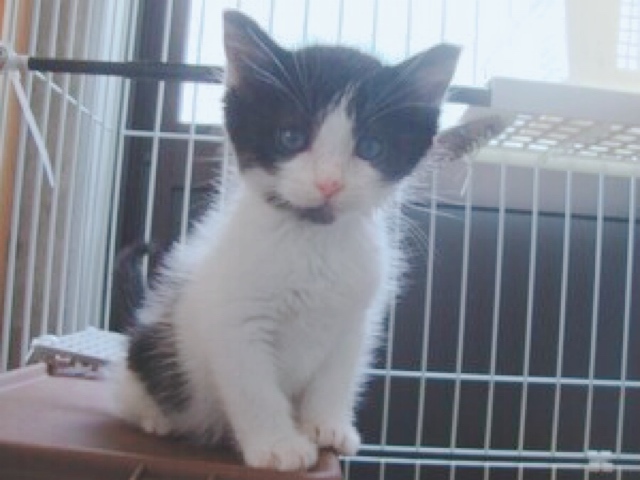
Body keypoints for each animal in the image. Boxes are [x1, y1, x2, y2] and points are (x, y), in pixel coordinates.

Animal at [112, 10, 460, 472]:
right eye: (291, 138)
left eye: (371, 147)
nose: (329, 183)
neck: (312, 239)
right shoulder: (234, 317)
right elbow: (254, 387)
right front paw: (279, 445)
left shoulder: (355, 320)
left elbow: (337, 377)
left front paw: (326, 425)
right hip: (153, 348)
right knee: (132, 390)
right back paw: (156, 418)